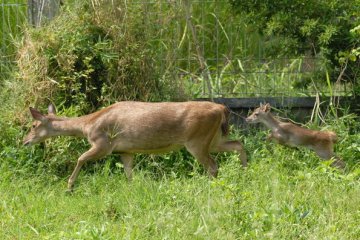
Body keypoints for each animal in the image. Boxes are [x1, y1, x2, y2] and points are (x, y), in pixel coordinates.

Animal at [23, 101, 248, 191]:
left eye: (33, 125)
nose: (25, 141)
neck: (88, 125)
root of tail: (221, 108)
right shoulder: (126, 151)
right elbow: (129, 174)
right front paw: (132, 190)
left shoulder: (103, 144)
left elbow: (80, 158)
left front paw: (69, 187)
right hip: (214, 139)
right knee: (238, 144)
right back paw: (246, 173)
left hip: (197, 140)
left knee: (213, 165)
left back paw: (210, 187)